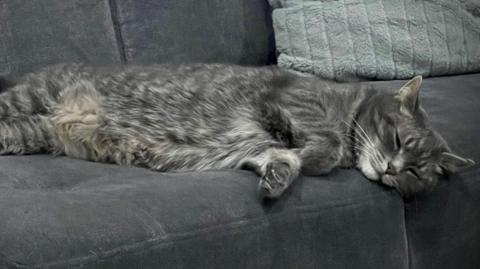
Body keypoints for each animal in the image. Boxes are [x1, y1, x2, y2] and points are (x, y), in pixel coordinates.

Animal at [0, 62, 474, 197]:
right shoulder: (294, 101)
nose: (392, 170)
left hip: (32, 131)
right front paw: (313, 157)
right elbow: (325, 144)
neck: (346, 102)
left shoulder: (259, 150)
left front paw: (279, 175)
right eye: (396, 141)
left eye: (415, 172)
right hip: (26, 101)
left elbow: (277, 158)